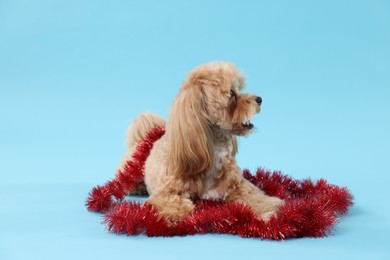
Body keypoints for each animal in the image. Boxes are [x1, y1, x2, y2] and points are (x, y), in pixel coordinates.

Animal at [116, 62, 284, 224]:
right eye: (231, 93)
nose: (259, 99)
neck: (213, 149)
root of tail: (143, 138)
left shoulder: (239, 186)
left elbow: (255, 197)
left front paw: (270, 208)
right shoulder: (165, 193)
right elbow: (169, 203)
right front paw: (174, 215)